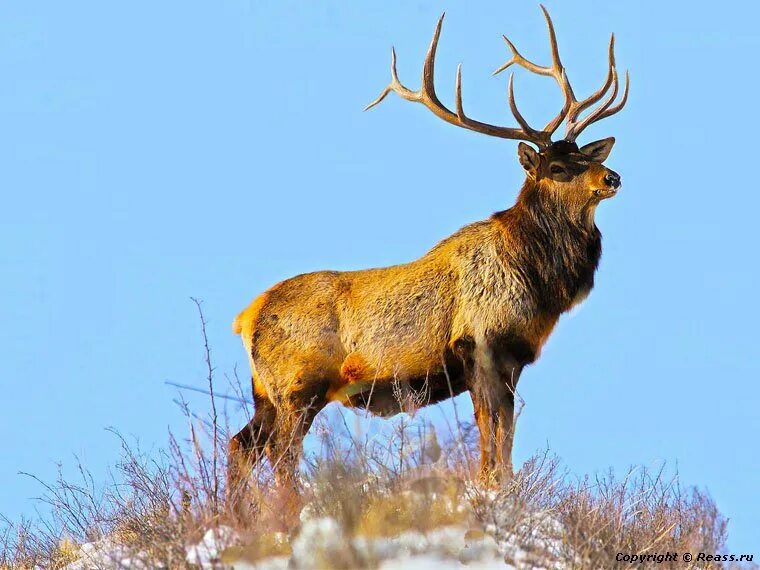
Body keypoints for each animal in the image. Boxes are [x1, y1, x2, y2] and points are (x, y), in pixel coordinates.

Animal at [227, 6, 628, 490]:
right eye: (557, 166)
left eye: (588, 156)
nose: (612, 177)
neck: (538, 279)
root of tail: (245, 318)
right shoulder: (481, 344)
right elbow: (493, 434)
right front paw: (493, 489)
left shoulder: (513, 358)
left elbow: (504, 435)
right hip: (297, 385)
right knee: (280, 454)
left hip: (265, 393)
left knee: (241, 445)